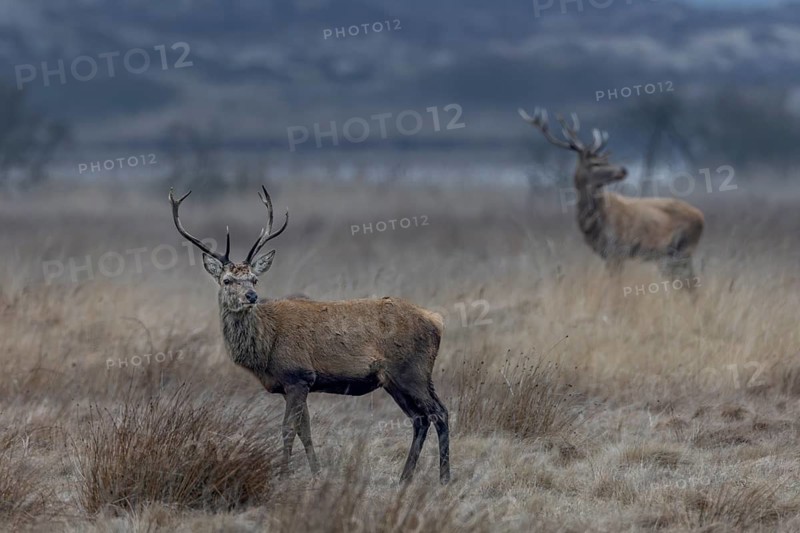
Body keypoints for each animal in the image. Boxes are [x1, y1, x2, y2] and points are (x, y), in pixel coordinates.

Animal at [167, 186, 450, 484]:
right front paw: (316, 472)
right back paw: (405, 477)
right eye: (227, 280)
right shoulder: (291, 384)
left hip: (410, 371)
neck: (266, 348)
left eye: (255, 279)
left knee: (439, 413)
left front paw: (283, 474)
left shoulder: (298, 375)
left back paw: (444, 477)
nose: (251, 296)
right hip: (399, 379)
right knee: (420, 418)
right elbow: (306, 429)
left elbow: (288, 428)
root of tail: (436, 320)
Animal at [519, 107, 704, 284]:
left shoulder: (617, 249)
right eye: (595, 163)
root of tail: (701, 217)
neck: (593, 222)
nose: (623, 170)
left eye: (605, 160)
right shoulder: (606, 253)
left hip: (682, 249)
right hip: (671, 255)